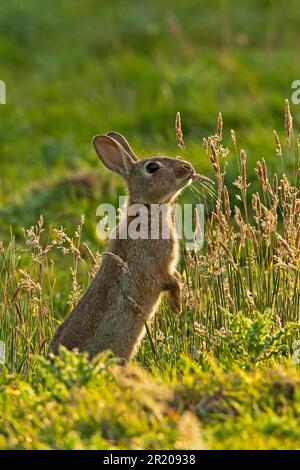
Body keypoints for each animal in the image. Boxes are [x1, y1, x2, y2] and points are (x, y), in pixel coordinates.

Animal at [49, 132, 204, 360]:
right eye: (152, 167)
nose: (188, 167)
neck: (148, 210)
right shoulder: (156, 269)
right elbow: (172, 282)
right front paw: (177, 307)